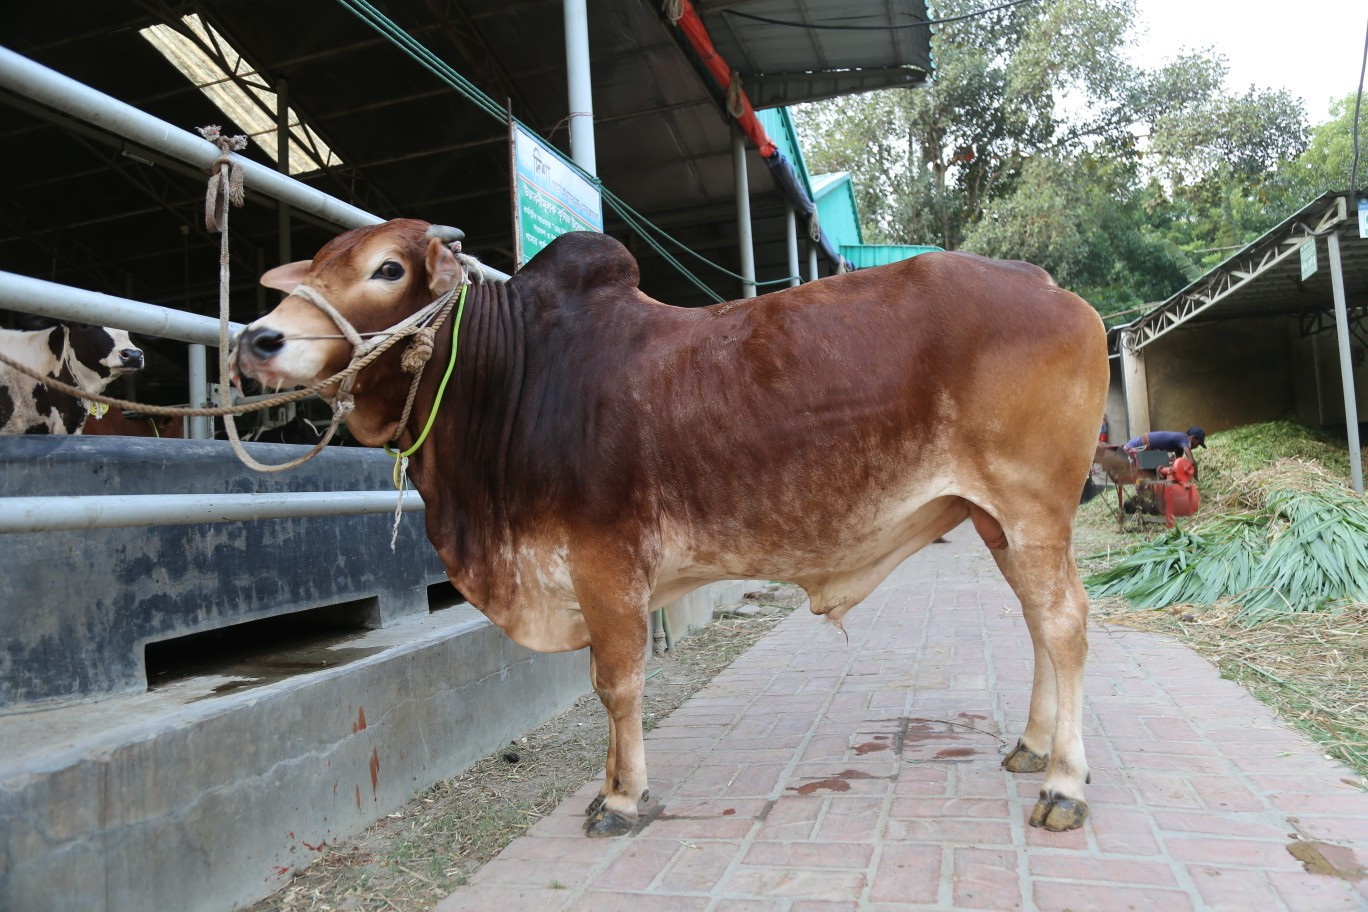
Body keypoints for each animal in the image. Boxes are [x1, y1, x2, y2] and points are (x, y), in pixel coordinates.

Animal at [233, 219, 1109, 837]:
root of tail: (1051, 287)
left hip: (1032, 509)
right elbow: (604, 683)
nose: (258, 339)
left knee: (1064, 624)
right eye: (315, 264)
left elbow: (616, 684)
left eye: (388, 268)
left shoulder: (607, 563)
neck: (513, 377)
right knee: (1036, 623)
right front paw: (610, 787)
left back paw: (1065, 784)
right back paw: (1033, 747)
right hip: (997, 521)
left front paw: (623, 800)